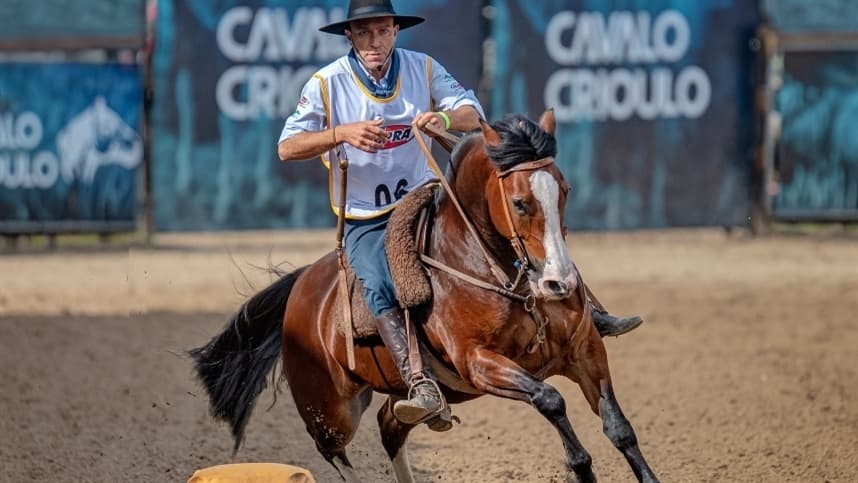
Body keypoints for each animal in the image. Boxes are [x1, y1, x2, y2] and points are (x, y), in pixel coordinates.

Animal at [190, 110, 659, 483]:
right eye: (520, 202)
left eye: (564, 190)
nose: (559, 283)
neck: (508, 277)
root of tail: (302, 285)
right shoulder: (479, 364)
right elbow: (551, 400)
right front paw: (579, 465)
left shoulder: (585, 351)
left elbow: (620, 429)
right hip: (329, 411)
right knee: (334, 452)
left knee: (390, 425)